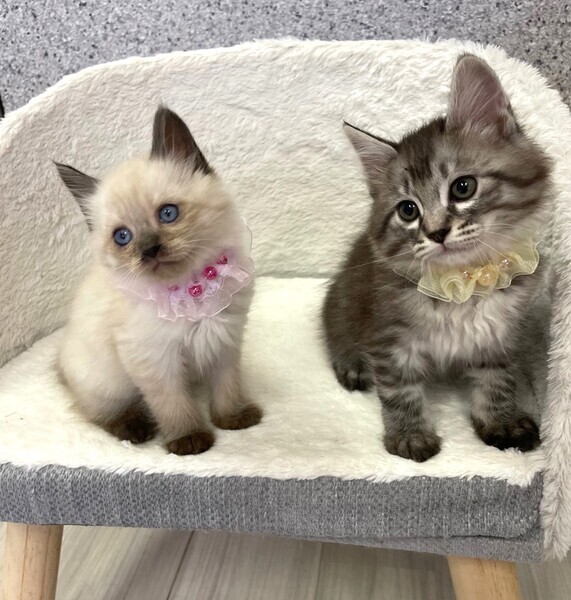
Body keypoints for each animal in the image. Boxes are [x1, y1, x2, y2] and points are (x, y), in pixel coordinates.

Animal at [56, 106, 262, 455]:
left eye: (168, 214)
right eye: (122, 237)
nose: (149, 250)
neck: (191, 287)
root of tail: (60, 362)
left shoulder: (225, 338)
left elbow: (227, 384)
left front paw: (233, 418)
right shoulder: (154, 357)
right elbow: (172, 403)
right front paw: (189, 439)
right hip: (106, 382)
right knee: (98, 412)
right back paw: (135, 429)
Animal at [323, 54, 551, 462]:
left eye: (463, 187)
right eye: (408, 210)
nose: (437, 233)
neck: (465, 280)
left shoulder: (500, 336)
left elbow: (497, 379)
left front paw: (501, 421)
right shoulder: (388, 336)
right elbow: (400, 390)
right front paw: (410, 435)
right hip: (340, 306)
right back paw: (352, 366)